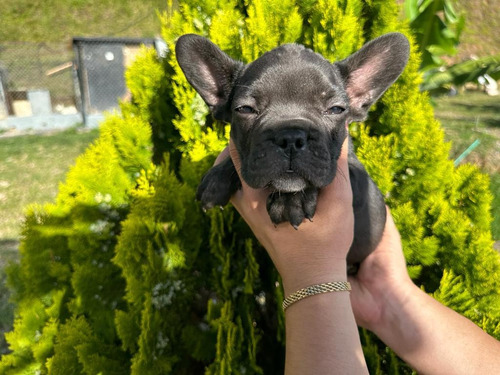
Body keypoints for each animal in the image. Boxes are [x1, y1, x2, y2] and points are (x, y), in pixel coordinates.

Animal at [176, 32, 410, 268]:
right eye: (245, 109)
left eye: (336, 109)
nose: (290, 136)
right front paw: (217, 179)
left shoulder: (361, 184)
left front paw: (292, 200)